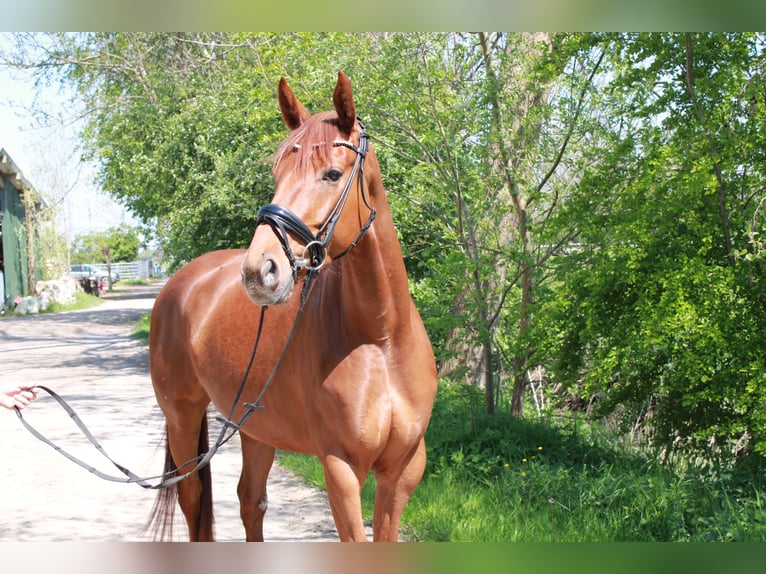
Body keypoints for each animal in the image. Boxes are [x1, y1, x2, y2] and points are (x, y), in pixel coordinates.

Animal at [147, 73, 438, 544]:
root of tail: (181, 281)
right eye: (277, 173)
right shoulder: (341, 469)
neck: (381, 338)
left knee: (250, 500)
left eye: (332, 173)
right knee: (193, 499)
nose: (258, 270)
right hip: (181, 416)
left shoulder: (402, 471)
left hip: (252, 425)